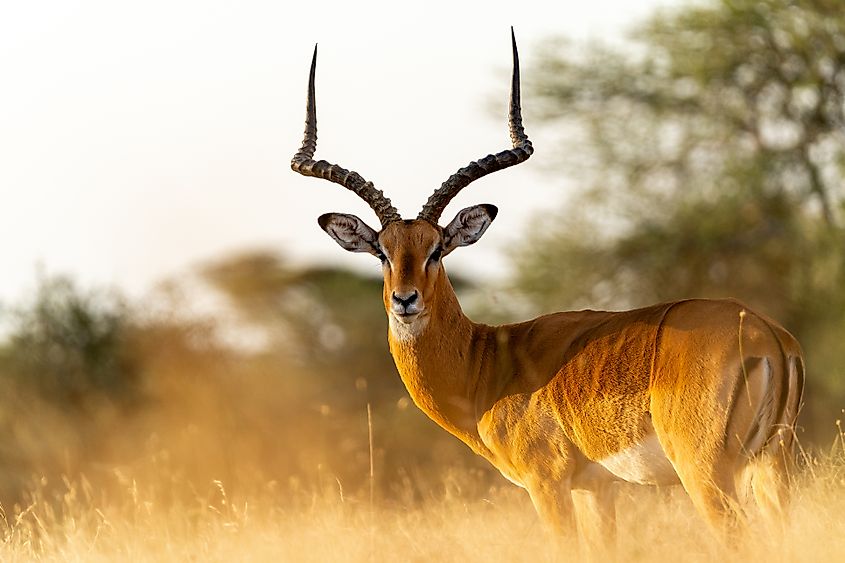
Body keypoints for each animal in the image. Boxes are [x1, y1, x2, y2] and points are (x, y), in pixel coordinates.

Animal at [289, 30, 805, 547]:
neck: (487, 364)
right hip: (770, 469)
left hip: (707, 474)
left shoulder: (547, 484)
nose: (405, 299)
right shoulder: (598, 488)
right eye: (383, 252)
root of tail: (767, 335)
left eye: (436, 249)